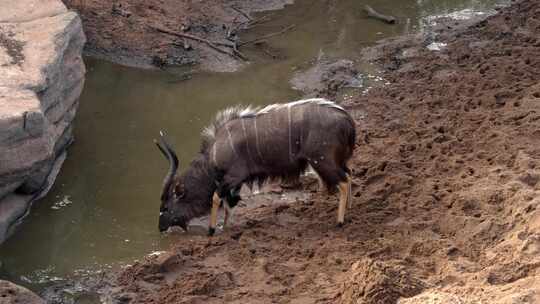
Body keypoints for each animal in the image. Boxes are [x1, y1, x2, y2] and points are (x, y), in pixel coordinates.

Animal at [154, 97, 356, 235]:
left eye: (166, 207)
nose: (161, 227)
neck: (214, 154)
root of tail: (347, 119)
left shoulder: (233, 177)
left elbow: (217, 197)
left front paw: (212, 230)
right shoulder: (234, 183)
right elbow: (229, 204)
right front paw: (225, 227)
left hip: (321, 161)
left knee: (343, 181)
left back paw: (339, 222)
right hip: (335, 161)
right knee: (349, 174)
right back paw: (349, 210)